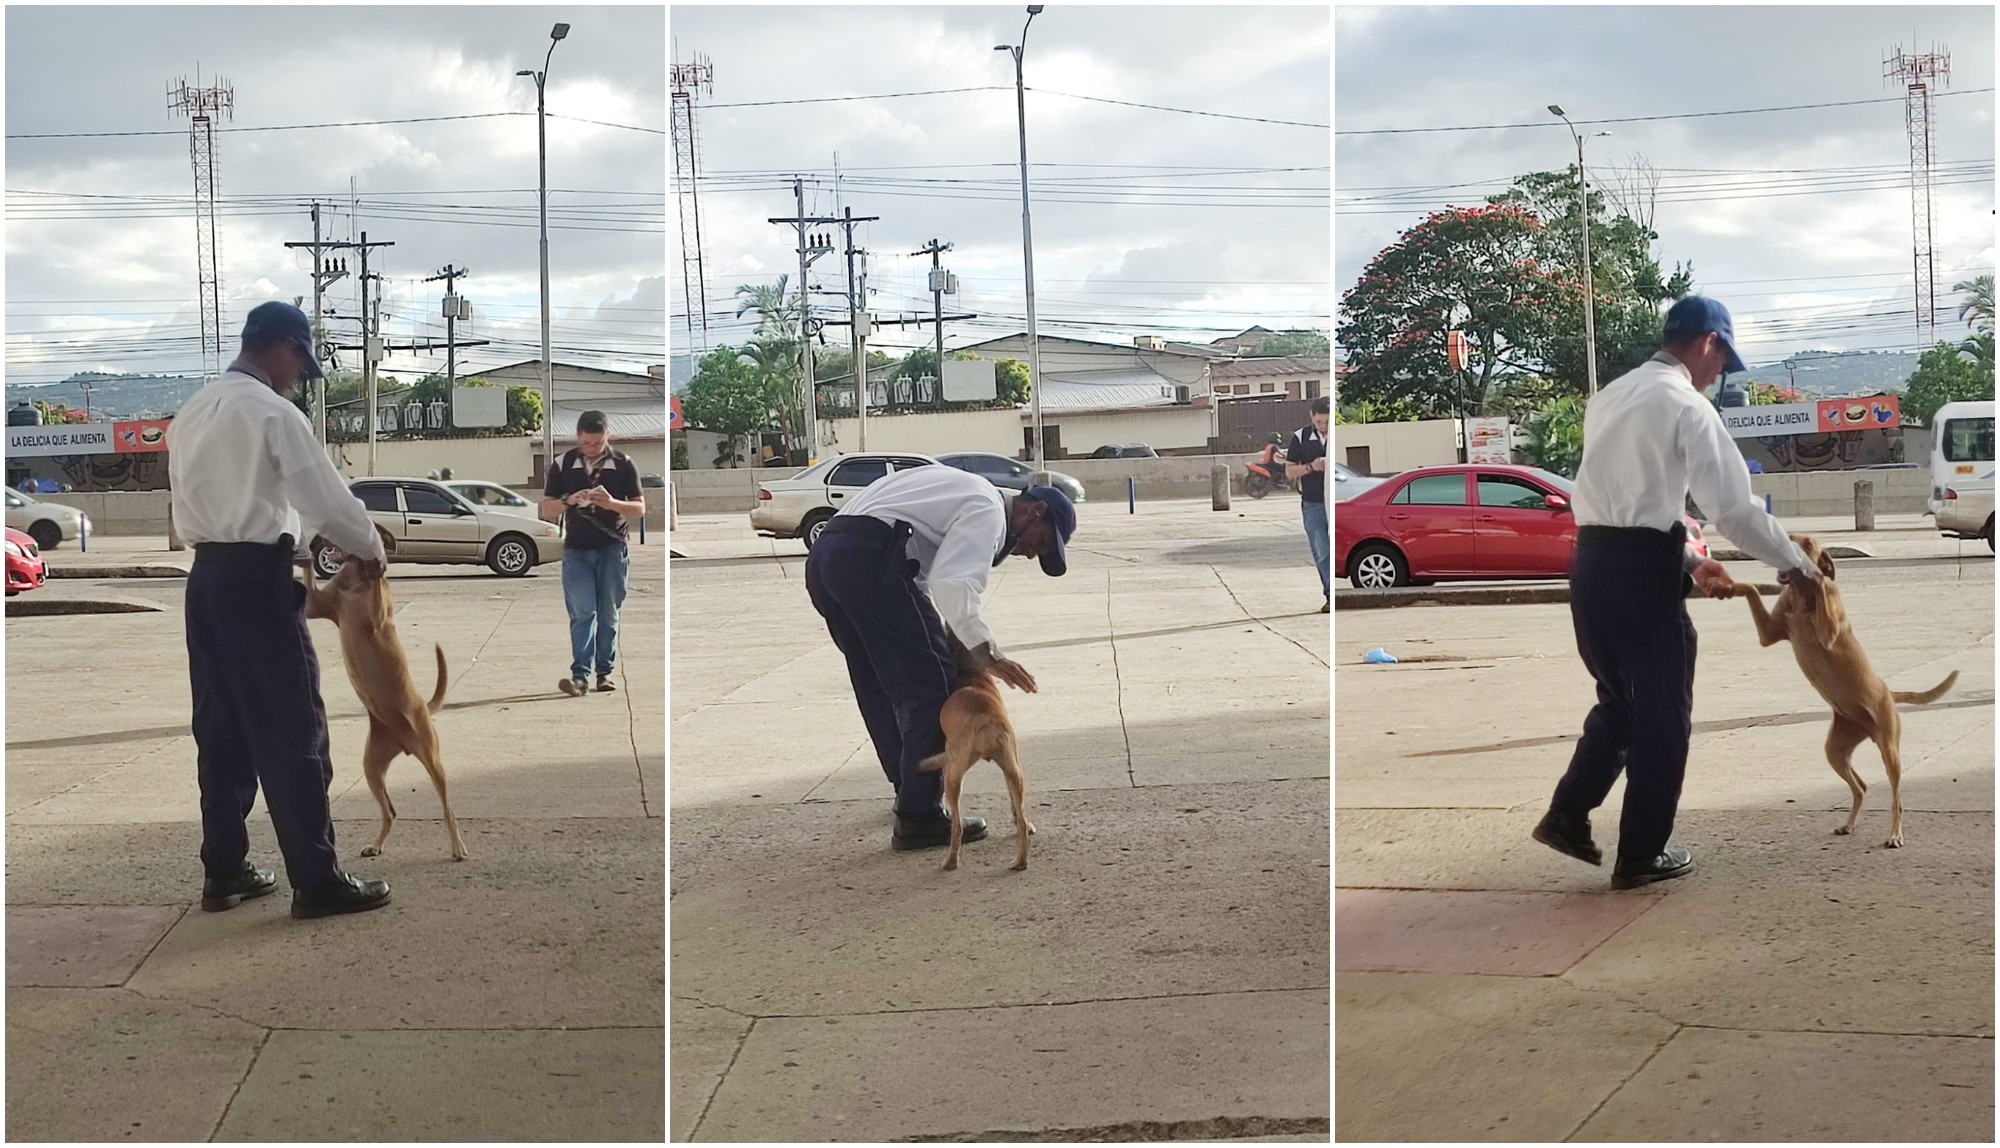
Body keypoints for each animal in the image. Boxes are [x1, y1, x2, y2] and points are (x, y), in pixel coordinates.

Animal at [302, 548, 466, 864]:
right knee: (390, 811)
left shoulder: (378, 618)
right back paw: (376, 845)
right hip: (372, 766)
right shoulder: (317, 604)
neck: (355, 582)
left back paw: (457, 847)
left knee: (448, 809)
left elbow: (378, 585)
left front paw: (377, 565)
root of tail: (403, 742)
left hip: (432, 760)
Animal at [920, 640, 1040, 872]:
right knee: (1020, 820)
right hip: (1013, 770)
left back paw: (950, 862)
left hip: (952, 775)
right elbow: (1015, 807)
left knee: (957, 826)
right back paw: (1020, 861)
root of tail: (981, 717)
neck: (969, 674)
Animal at [1744, 536, 1960, 852]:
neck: (1802, 597)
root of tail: (1889, 693)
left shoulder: (1828, 632)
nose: (1784, 546)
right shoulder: (1768, 633)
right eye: (1793, 536)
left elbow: (1823, 589)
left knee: (1896, 800)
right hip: (1836, 748)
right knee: (1860, 786)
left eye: (1808, 544)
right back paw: (1848, 824)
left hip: (1889, 750)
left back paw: (1895, 834)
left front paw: (1820, 578)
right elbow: (1749, 589)